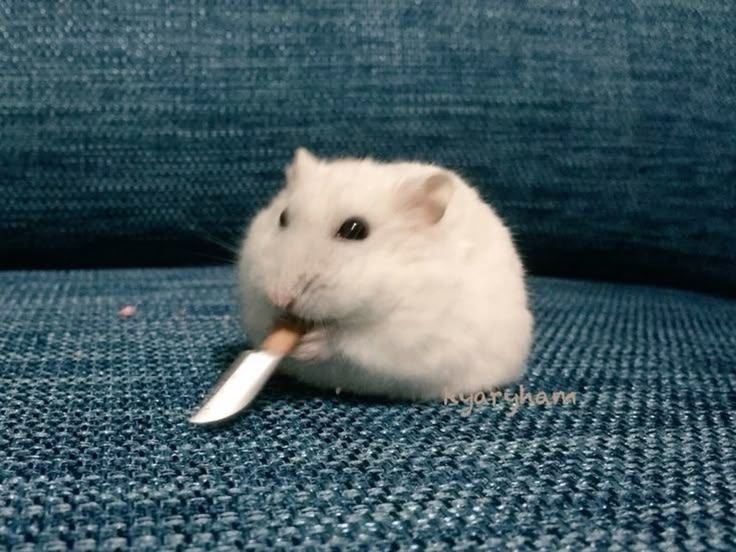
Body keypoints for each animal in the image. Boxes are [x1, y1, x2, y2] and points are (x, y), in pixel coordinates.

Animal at [237, 148, 533, 400]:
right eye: (282, 217)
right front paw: (276, 324)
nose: (280, 297)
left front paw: (308, 345)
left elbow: (349, 342)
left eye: (354, 229)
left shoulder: (404, 334)